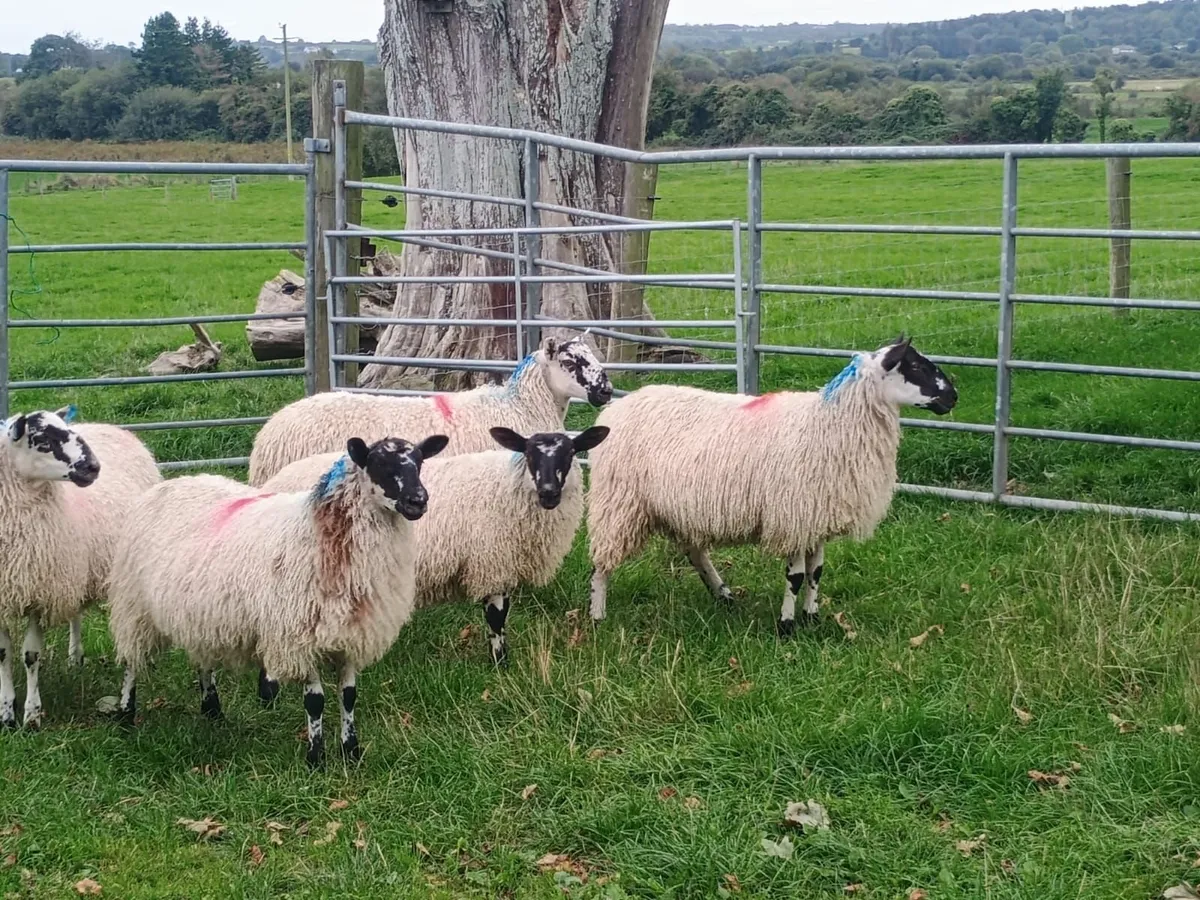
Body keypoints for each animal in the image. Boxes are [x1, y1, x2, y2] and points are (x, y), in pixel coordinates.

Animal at [0, 407, 160, 730]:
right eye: (42, 441)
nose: (94, 468)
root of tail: (110, 426)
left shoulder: (41, 593)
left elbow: (30, 655)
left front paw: (32, 716)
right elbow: (2, 655)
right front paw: (6, 714)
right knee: (76, 613)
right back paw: (75, 657)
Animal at [106, 433, 448, 767]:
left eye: (419, 461)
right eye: (378, 462)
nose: (418, 500)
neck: (320, 534)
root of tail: (171, 483)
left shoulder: (352, 634)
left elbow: (349, 696)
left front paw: (351, 752)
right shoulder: (297, 636)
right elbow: (315, 701)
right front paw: (316, 758)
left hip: (200, 613)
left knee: (203, 660)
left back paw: (212, 710)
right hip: (134, 604)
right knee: (132, 661)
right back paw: (126, 713)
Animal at [263, 425, 610, 666]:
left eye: (569, 454)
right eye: (529, 454)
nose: (549, 492)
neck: (508, 488)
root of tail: (273, 480)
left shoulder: (505, 563)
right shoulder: (491, 562)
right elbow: (497, 619)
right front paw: (500, 664)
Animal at [585, 337, 958, 636]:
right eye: (914, 366)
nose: (953, 397)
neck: (831, 424)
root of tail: (617, 406)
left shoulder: (815, 516)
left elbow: (817, 572)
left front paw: (812, 617)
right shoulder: (792, 514)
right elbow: (796, 576)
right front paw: (787, 626)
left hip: (675, 507)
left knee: (694, 552)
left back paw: (723, 594)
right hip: (618, 501)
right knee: (601, 561)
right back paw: (597, 614)